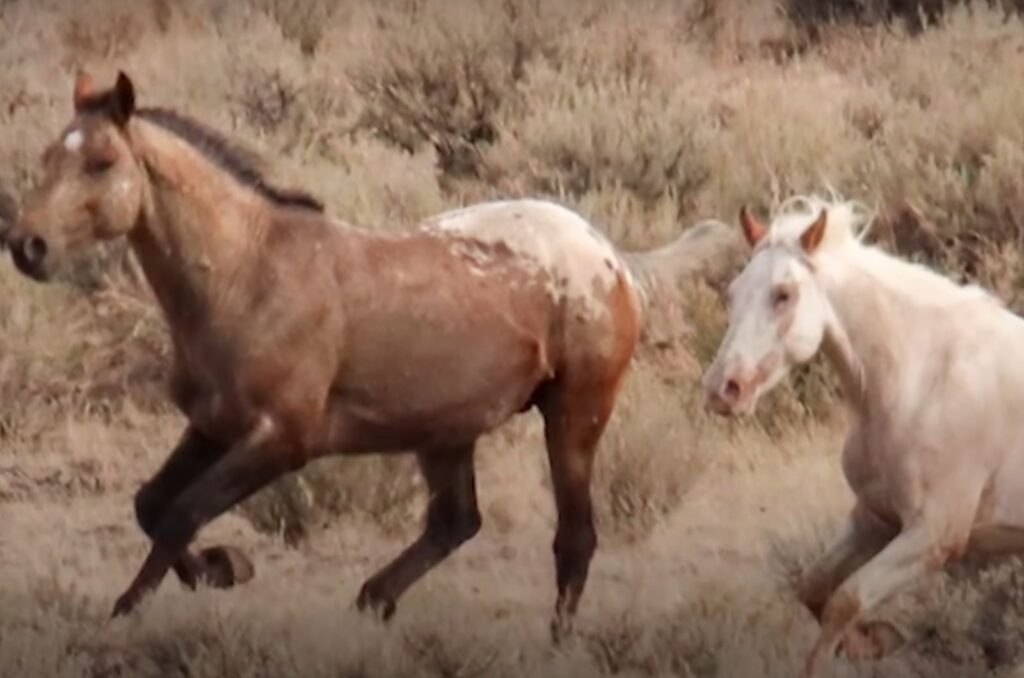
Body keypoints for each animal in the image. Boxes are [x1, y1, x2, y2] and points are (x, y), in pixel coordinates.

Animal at [0, 73, 737, 639]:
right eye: (49, 157)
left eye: (101, 162)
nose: (28, 246)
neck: (249, 274)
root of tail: (612, 256)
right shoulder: (212, 426)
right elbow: (151, 504)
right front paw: (223, 568)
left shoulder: (281, 439)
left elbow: (181, 512)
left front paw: (142, 603)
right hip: (447, 432)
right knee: (456, 522)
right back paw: (373, 601)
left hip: (574, 413)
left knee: (573, 537)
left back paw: (551, 642)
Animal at [700, 193, 1024, 678]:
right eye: (734, 293)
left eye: (783, 294)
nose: (723, 389)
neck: (921, 382)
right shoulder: (873, 517)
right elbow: (814, 586)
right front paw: (875, 641)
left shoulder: (934, 535)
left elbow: (845, 600)